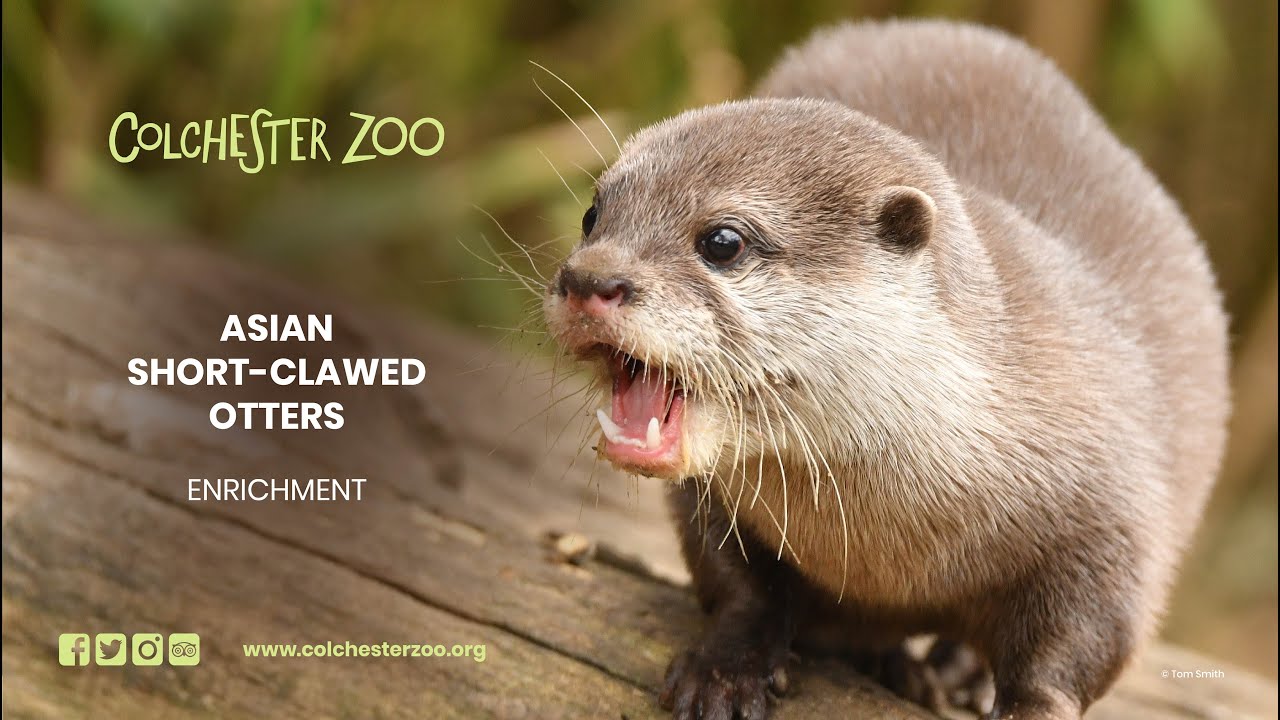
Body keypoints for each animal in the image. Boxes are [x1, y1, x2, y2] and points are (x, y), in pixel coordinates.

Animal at [542, 19, 1229, 720]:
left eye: (723, 242)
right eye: (592, 216)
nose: (588, 279)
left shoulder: (1115, 518)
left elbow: (1073, 653)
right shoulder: (710, 498)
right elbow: (738, 584)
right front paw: (725, 671)